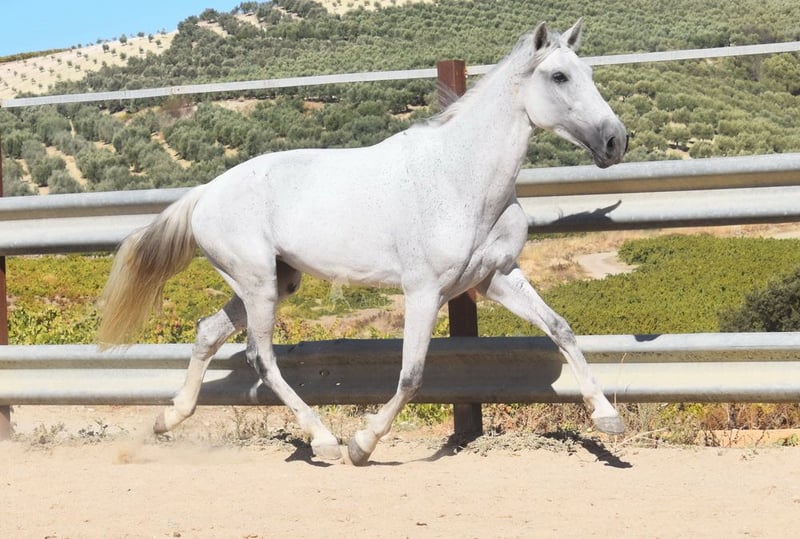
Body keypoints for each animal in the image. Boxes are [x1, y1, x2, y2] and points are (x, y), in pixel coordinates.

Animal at [99, 18, 628, 465]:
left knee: (208, 331)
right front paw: (362, 444)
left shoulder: (494, 278)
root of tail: (205, 193)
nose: (615, 141)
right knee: (260, 357)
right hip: (258, 284)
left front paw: (607, 418)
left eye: (587, 72)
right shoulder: (425, 291)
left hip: (275, 280)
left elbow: (562, 329)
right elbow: (412, 376)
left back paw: (168, 418)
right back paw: (325, 441)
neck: (461, 179)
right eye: (559, 76)